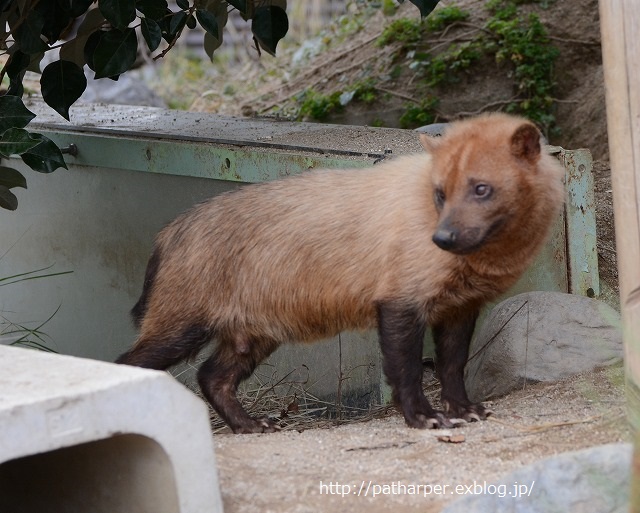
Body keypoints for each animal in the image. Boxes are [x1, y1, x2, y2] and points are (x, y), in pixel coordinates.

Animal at [116, 113, 564, 432]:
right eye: (440, 192)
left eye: (481, 188)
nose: (444, 237)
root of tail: (170, 232)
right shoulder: (400, 302)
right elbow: (406, 369)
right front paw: (424, 418)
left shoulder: (459, 308)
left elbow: (452, 365)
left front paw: (466, 410)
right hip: (181, 327)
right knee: (129, 361)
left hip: (253, 336)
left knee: (212, 377)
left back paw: (252, 425)